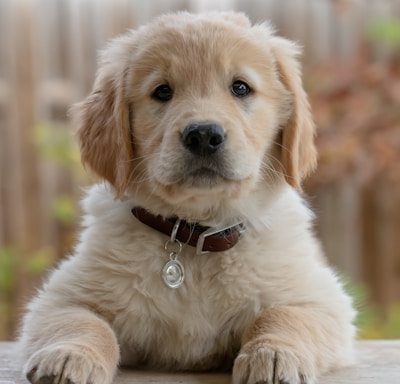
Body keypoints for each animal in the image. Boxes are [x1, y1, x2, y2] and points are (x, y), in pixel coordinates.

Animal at [20, 11, 354, 384]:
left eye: (240, 87)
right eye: (162, 91)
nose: (204, 135)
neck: (195, 236)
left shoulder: (320, 298)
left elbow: (282, 316)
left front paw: (274, 354)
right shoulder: (62, 296)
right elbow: (83, 323)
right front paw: (69, 355)